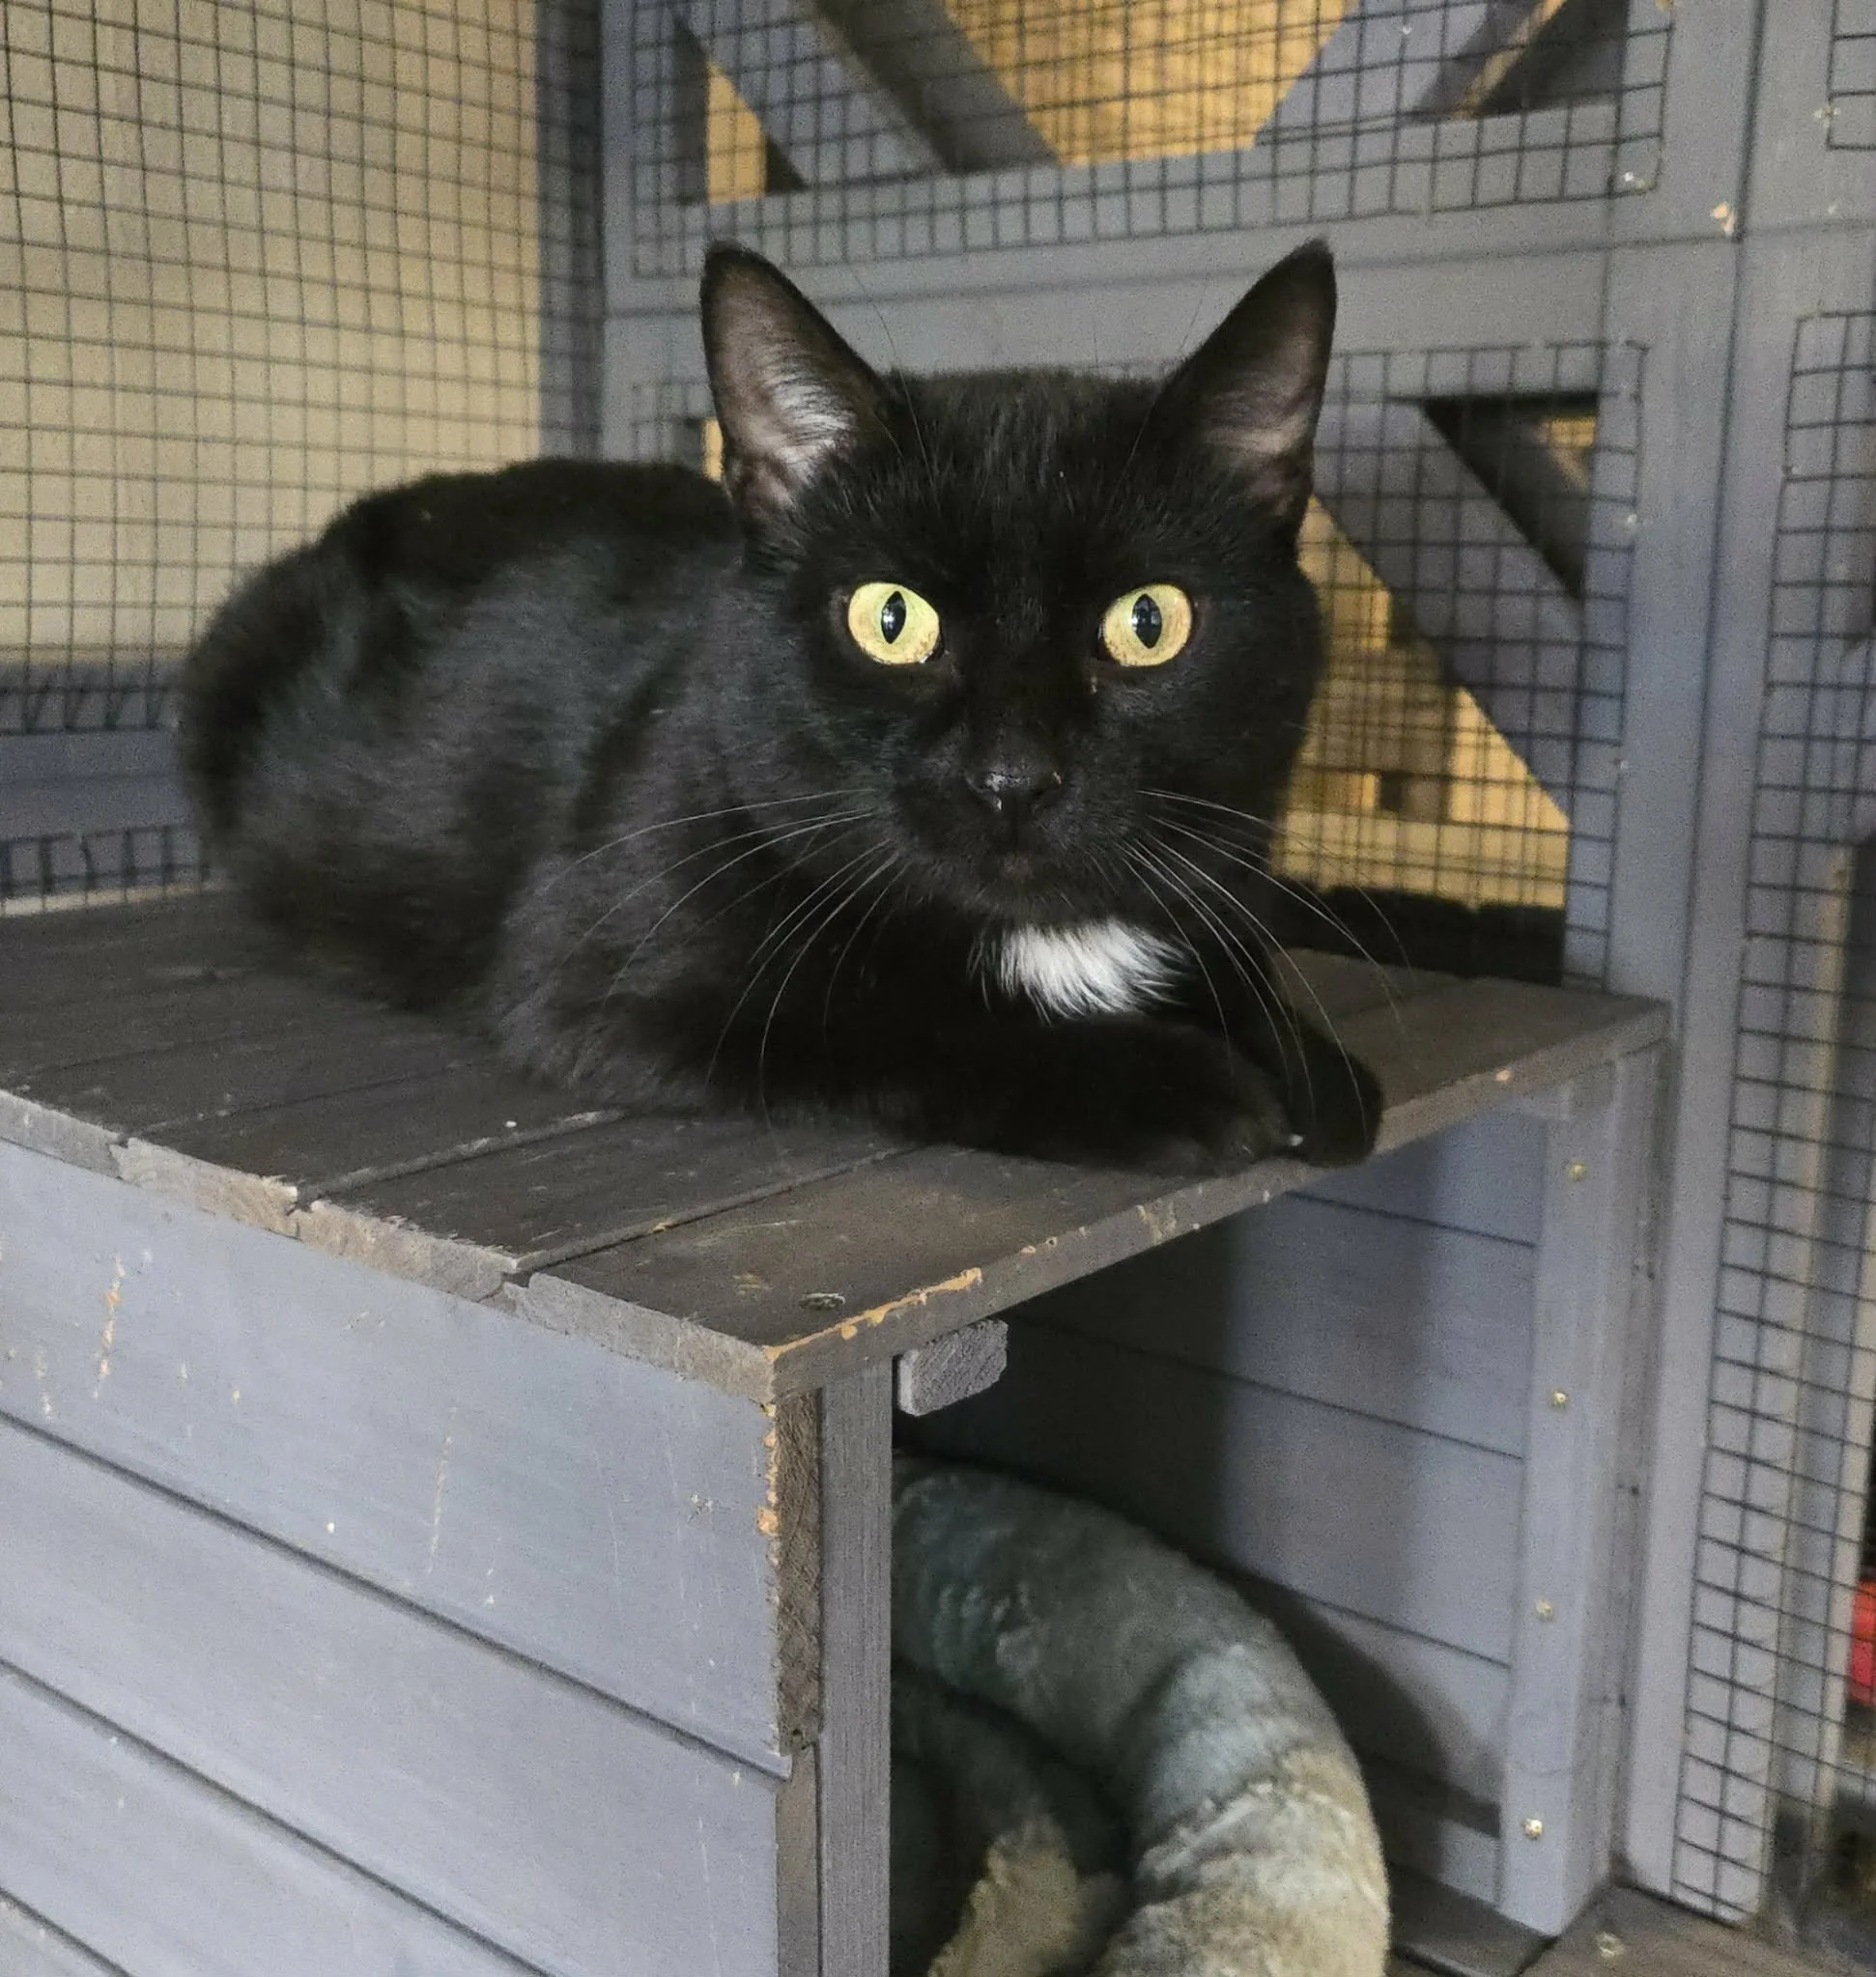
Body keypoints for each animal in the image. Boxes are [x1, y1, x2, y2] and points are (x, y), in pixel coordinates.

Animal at [180, 239, 1380, 1174]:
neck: (1041, 937)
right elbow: (900, 1024)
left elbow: (1233, 949)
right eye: (889, 619)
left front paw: (1311, 1065)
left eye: (1148, 622)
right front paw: (1166, 1082)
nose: (1012, 778)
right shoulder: (605, 983)